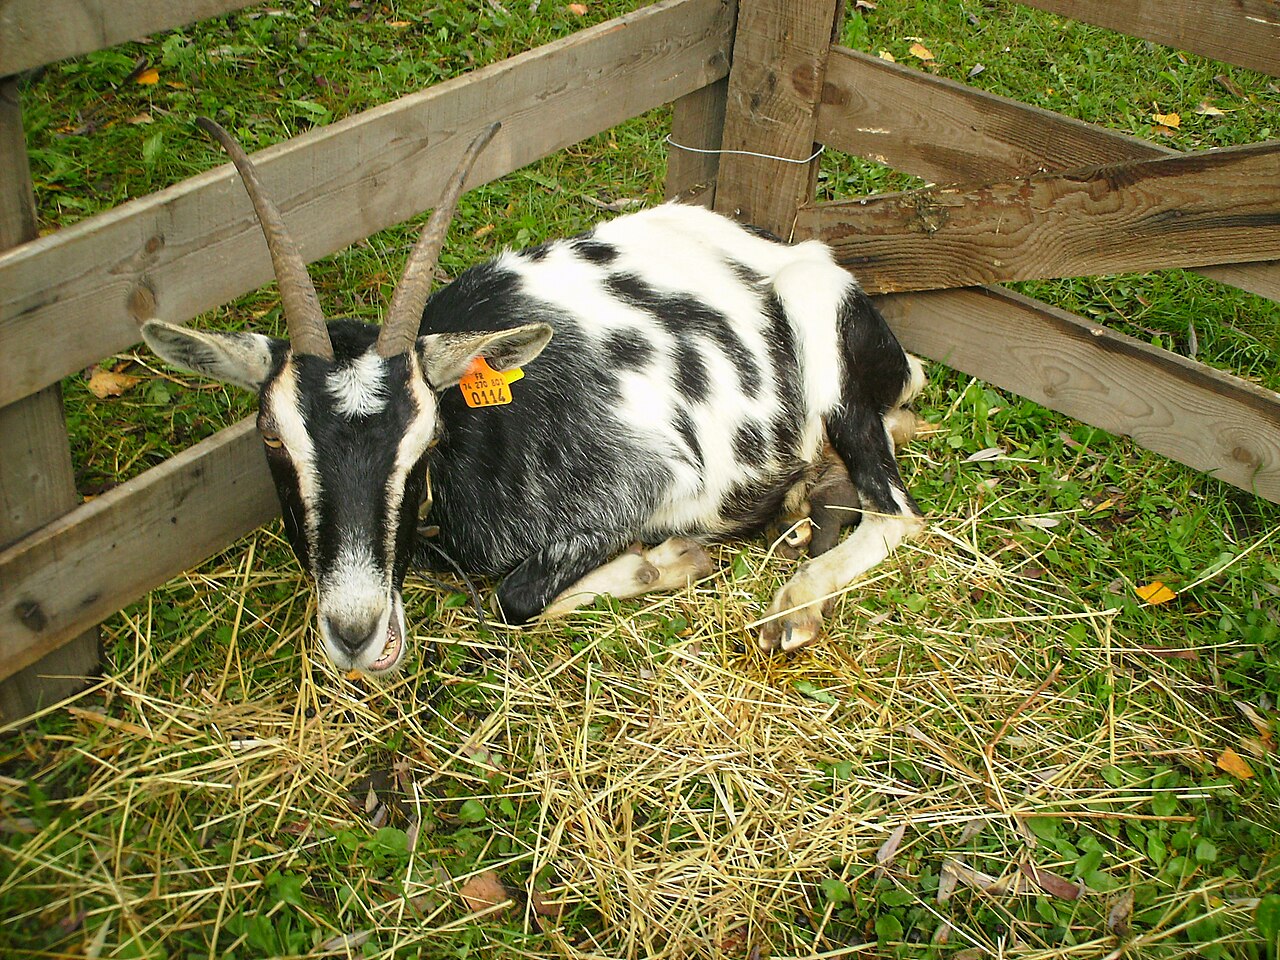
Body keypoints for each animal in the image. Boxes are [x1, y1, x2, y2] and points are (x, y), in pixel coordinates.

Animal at [142, 119, 925, 676]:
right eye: (272, 436)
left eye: (425, 439)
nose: (356, 633)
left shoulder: (653, 481)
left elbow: (514, 599)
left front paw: (667, 560)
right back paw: (796, 515)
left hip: (820, 326)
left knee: (897, 512)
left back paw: (792, 607)